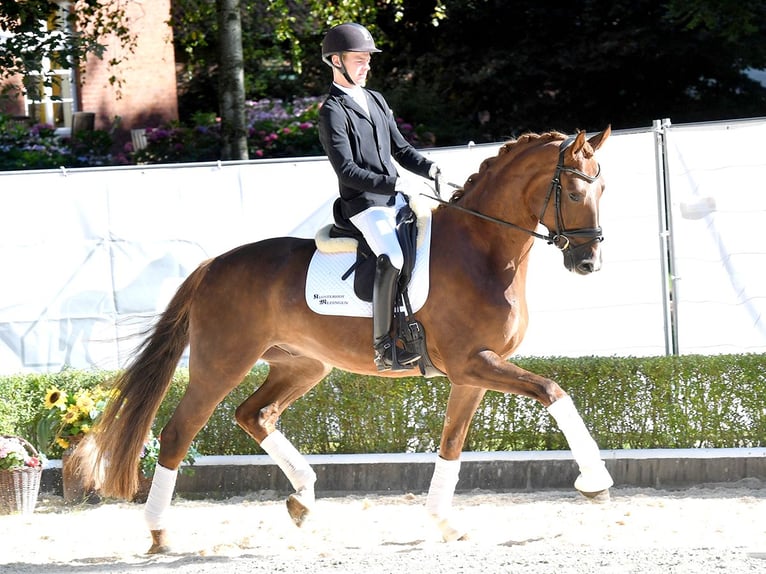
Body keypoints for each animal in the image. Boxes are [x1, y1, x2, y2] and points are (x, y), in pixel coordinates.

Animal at [75, 127, 616, 552]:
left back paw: (303, 499)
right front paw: (596, 482)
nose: (588, 263)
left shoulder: (472, 372)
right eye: (572, 194)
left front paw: (445, 523)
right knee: (177, 433)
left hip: (303, 364)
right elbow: (553, 391)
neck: (481, 250)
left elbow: (452, 444)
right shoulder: (473, 363)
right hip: (221, 364)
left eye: (604, 188)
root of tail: (214, 266)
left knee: (255, 415)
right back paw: (160, 533)